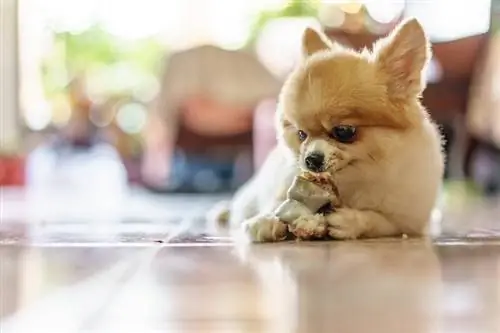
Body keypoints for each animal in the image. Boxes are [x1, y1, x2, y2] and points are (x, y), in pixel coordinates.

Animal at [209, 18, 444, 241]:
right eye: (301, 134)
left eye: (344, 131)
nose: (310, 159)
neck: (353, 177)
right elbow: (275, 203)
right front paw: (266, 220)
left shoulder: (407, 222)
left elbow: (377, 220)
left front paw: (350, 221)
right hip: (250, 196)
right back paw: (223, 212)